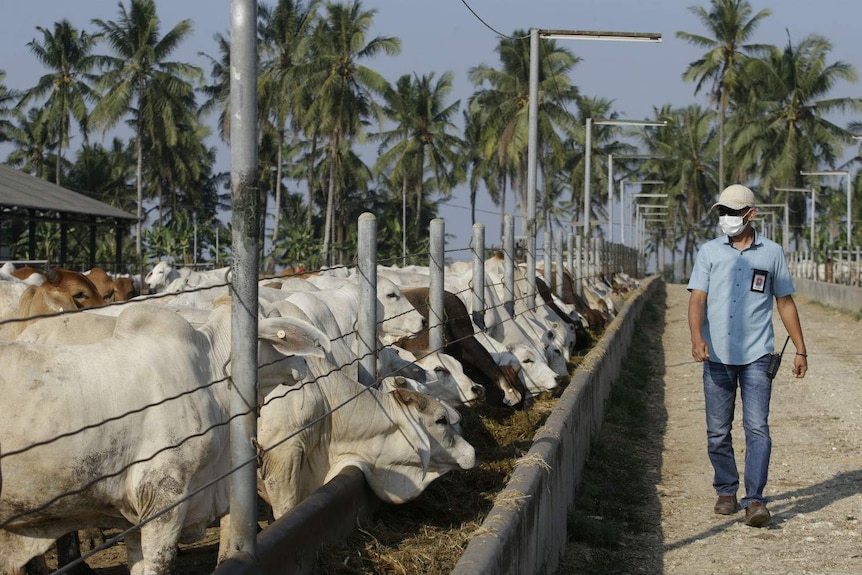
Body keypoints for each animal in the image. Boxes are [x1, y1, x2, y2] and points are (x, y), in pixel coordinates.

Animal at [0, 302, 330, 575]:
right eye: (279, 337)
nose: (303, 365)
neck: (210, 376)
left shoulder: (132, 515)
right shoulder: (163, 497)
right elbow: (161, 562)